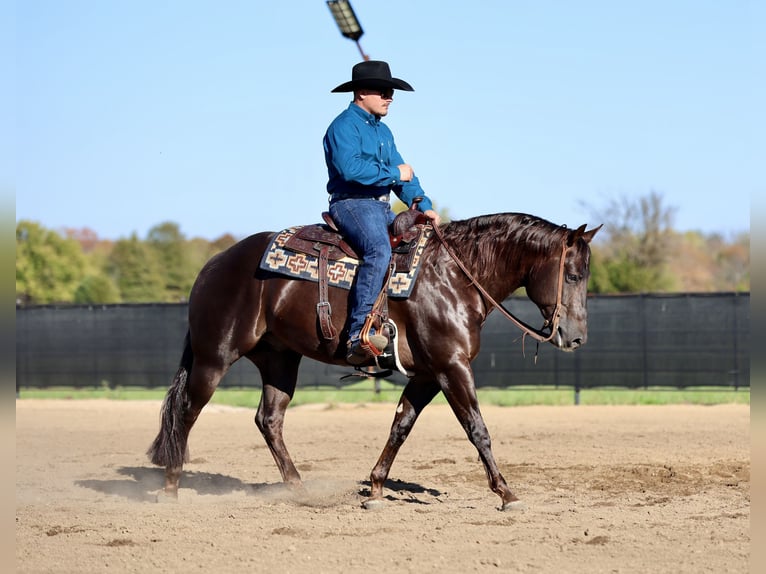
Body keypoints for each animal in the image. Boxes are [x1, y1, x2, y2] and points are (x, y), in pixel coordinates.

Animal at [148, 212, 601, 510]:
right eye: (573, 275)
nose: (577, 336)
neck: (453, 277)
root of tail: (214, 264)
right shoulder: (452, 367)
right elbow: (477, 429)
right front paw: (506, 493)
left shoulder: (427, 375)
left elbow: (400, 425)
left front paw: (378, 488)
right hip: (214, 356)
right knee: (186, 412)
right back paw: (170, 488)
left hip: (279, 360)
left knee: (268, 420)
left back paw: (298, 489)